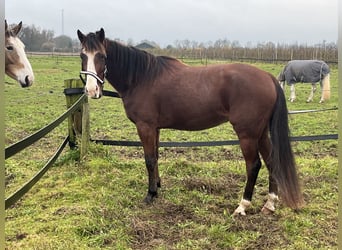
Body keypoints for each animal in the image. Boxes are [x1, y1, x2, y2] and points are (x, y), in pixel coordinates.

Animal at [77, 28, 302, 215]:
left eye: (102, 56)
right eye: (82, 55)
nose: (91, 90)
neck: (142, 77)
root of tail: (268, 77)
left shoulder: (145, 126)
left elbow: (149, 159)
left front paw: (150, 194)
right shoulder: (155, 128)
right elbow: (155, 157)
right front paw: (157, 187)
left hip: (247, 134)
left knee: (253, 165)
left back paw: (242, 206)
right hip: (261, 132)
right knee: (271, 160)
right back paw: (270, 203)